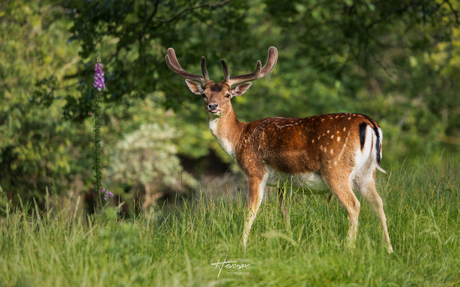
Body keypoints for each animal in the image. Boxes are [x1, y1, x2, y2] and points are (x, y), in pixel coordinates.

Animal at [164, 46, 394, 253]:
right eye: (204, 94)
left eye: (228, 95)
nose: (213, 106)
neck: (239, 140)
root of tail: (369, 123)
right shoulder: (284, 182)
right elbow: (284, 211)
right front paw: (289, 240)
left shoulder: (255, 171)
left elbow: (250, 211)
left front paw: (242, 246)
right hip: (367, 172)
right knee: (379, 202)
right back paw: (389, 249)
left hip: (335, 168)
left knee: (354, 206)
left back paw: (349, 248)